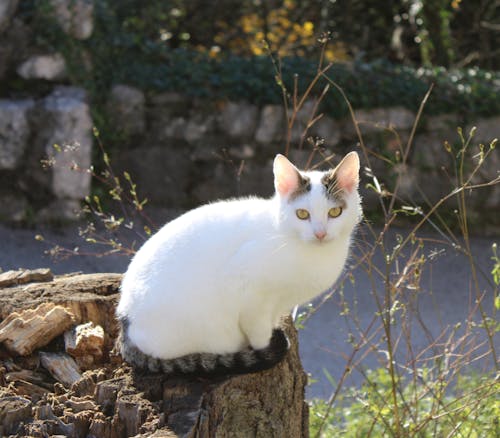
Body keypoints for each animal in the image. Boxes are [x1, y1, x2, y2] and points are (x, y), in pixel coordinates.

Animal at [115, 151, 362, 376]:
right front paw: (265, 346)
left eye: (335, 212)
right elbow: (258, 328)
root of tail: (124, 318)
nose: (320, 234)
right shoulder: (248, 292)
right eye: (302, 214)